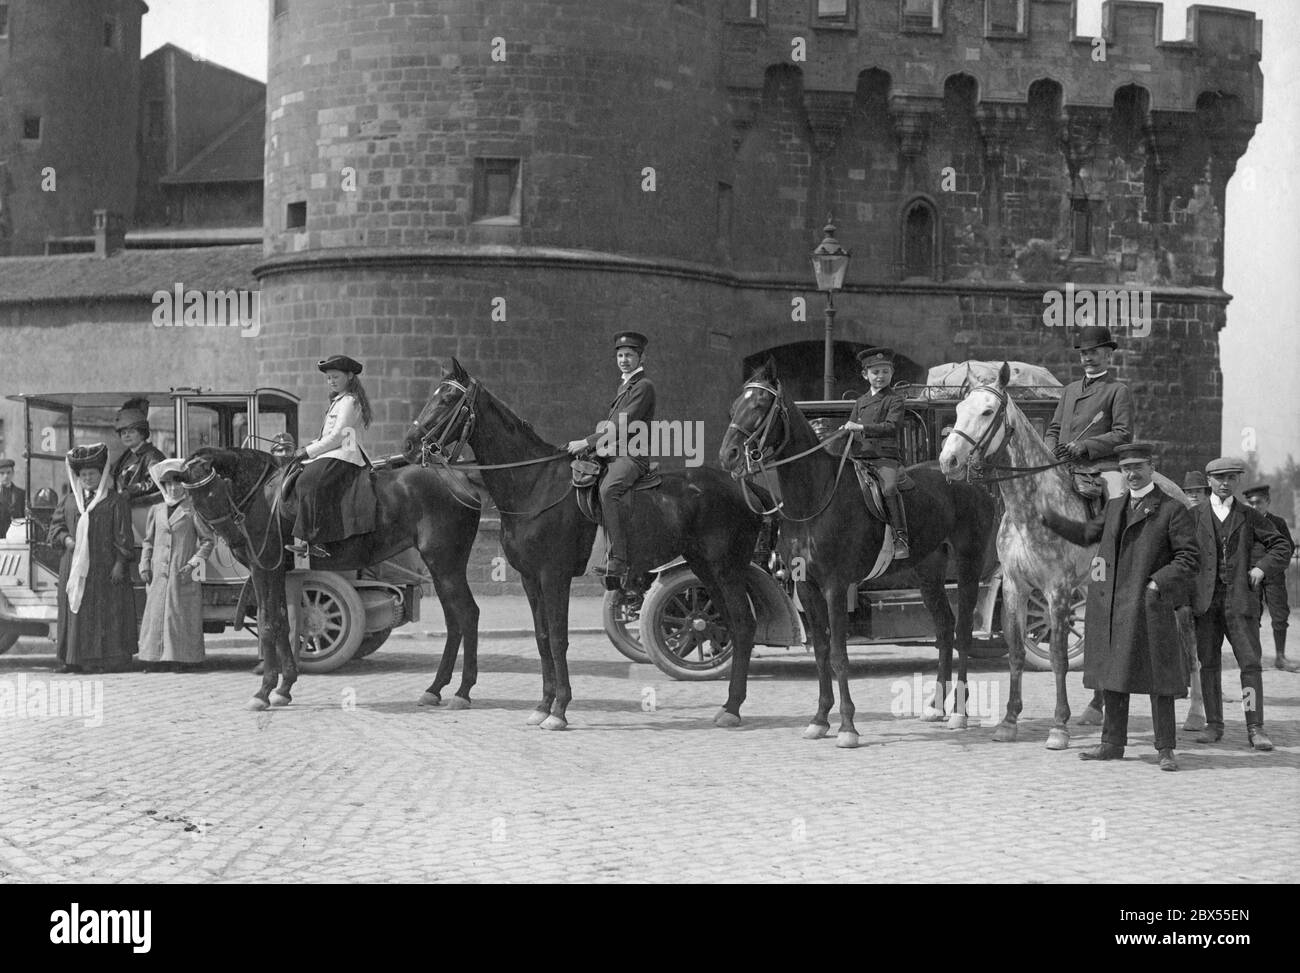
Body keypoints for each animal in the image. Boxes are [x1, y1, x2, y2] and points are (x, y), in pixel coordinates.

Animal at [184, 447, 483, 707]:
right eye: (196, 500)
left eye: (215, 490)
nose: (234, 540)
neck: (263, 498)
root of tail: (460, 478)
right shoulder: (279, 571)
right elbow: (282, 620)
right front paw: (284, 687)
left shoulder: (264, 568)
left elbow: (267, 622)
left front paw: (264, 691)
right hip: (442, 567)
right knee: (454, 620)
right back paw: (436, 688)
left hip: (445, 563)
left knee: (467, 614)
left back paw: (463, 691)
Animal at [408, 356, 769, 728]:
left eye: (448, 399)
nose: (411, 442)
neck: (535, 484)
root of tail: (742, 486)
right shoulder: (530, 578)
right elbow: (542, 638)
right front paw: (543, 705)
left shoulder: (554, 575)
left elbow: (558, 638)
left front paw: (559, 709)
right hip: (705, 568)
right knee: (729, 624)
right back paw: (728, 703)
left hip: (726, 568)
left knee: (744, 624)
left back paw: (732, 707)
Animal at [717, 361, 987, 749]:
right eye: (735, 406)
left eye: (759, 406)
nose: (729, 455)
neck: (813, 500)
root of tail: (965, 475)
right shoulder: (807, 588)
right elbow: (820, 651)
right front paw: (819, 719)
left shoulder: (834, 586)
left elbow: (839, 656)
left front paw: (847, 726)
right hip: (928, 573)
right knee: (944, 628)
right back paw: (936, 706)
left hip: (969, 563)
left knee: (964, 630)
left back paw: (959, 713)